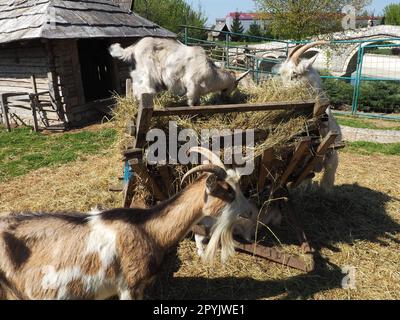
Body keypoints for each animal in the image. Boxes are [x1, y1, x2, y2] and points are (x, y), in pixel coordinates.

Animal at [109, 38, 250, 106]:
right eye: (236, 85)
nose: (226, 98)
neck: (213, 74)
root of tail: (133, 49)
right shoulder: (192, 84)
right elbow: (192, 101)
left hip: (138, 73)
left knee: (136, 87)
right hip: (147, 71)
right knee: (144, 88)